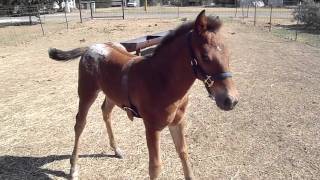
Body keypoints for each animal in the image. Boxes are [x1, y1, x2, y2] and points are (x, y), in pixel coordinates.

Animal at [48, 10, 239, 179]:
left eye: (228, 53)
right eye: (205, 56)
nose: (231, 100)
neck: (162, 79)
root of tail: (91, 47)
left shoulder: (178, 122)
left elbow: (183, 153)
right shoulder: (152, 127)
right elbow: (155, 167)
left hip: (112, 94)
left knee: (106, 112)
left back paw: (116, 150)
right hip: (87, 92)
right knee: (80, 123)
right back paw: (73, 169)